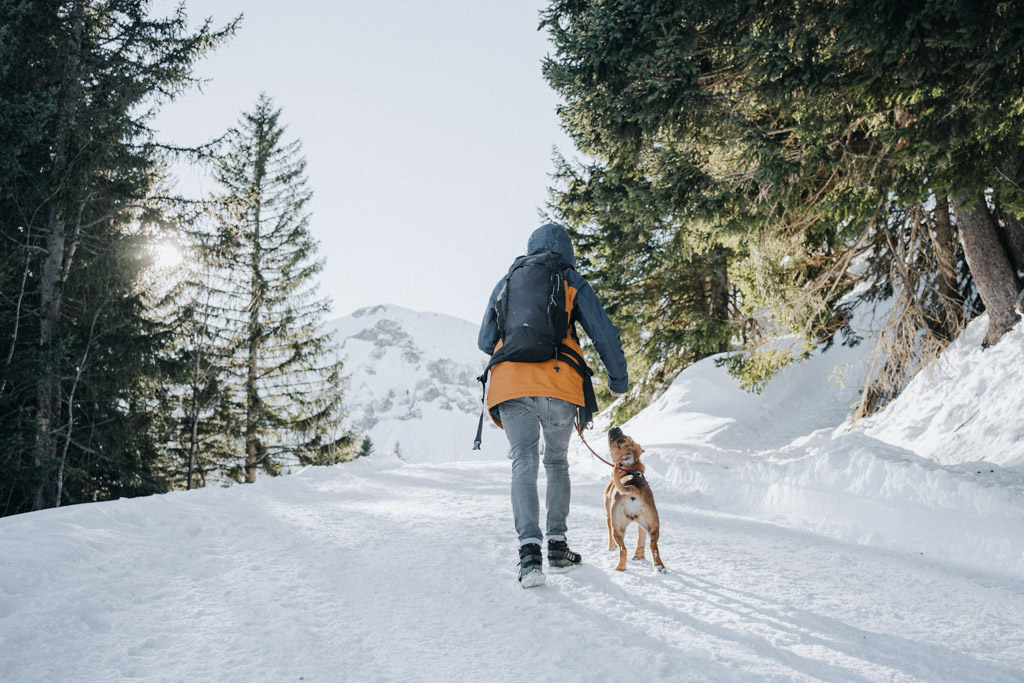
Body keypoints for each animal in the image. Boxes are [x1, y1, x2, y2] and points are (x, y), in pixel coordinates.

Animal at [602, 428, 667, 573]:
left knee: (623, 550)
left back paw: (619, 568)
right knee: (653, 547)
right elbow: (641, 540)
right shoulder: (641, 525)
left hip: (617, 528)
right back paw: (657, 566)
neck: (629, 469)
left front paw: (611, 548)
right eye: (628, 436)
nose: (615, 428)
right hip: (652, 525)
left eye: (620, 442)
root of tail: (632, 488)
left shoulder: (608, 515)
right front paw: (639, 556)